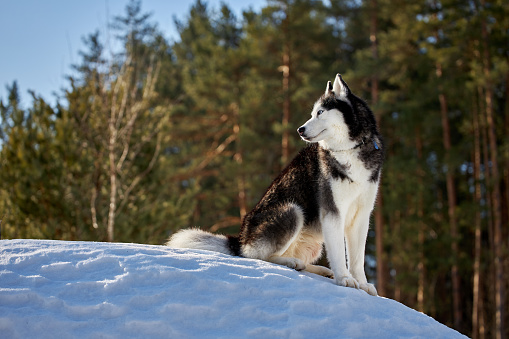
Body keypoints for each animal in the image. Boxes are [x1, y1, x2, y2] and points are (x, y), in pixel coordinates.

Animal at [167, 73, 380, 294]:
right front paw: (344, 279)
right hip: (292, 211)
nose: (300, 129)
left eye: (320, 112)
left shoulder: (362, 215)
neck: (349, 150)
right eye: (312, 113)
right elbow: (339, 254)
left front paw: (363, 284)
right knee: (259, 257)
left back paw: (317, 269)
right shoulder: (332, 212)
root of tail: (241, 240)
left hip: (312, 241)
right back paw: (290, 262)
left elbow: (357, 259)